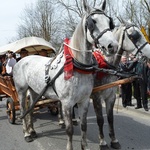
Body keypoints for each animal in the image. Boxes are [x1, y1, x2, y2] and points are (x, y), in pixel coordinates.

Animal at [12, 0, 118, 149]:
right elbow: (69, 130)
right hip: (21, 91)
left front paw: (85, 146)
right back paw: (26, 133)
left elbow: (84, 126)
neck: (77, 65)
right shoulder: (67, 103)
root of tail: (21, 60)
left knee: (31, 110)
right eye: (93, 22)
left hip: (34, 91)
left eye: (109, 22)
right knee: (23, 111)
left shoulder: (84, 100)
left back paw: (32, 131)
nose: (112, 46)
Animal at [91, 21, 150, 149]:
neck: (105, 66)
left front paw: (114, 140)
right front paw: (102, 142)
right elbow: (100, 119)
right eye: (133, 36)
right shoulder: (96, 97)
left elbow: (110, 118)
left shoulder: (111, 96)